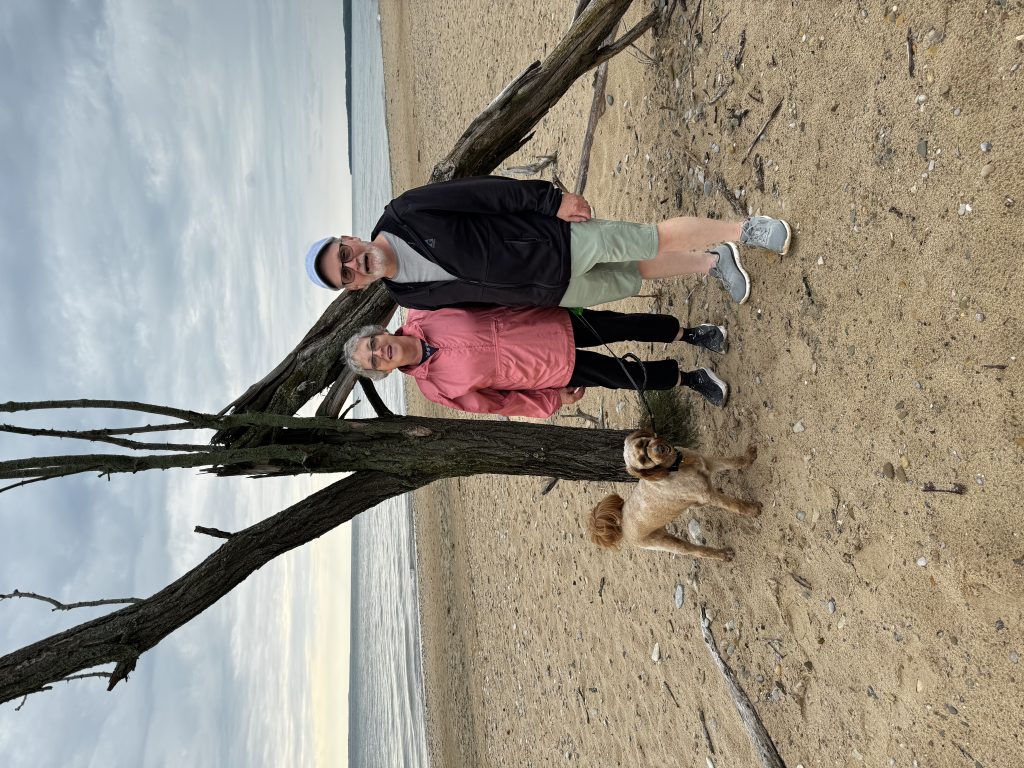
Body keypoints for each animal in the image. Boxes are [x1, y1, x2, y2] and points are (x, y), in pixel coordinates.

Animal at [587, 430, 760, 562]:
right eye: (643, 460)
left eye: (643, 443)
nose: (658, 449)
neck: (676, 466)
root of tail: (621, 525)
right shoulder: (707, 495)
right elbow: (734, 505)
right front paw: (752, 510)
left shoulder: (709, 462)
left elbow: (734, 461)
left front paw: (749, 457)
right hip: (670, 544)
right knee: (697, 551)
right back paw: (722, 555)